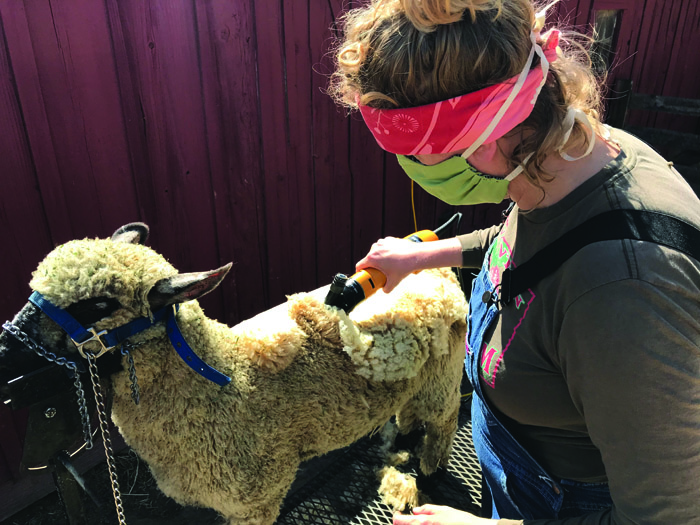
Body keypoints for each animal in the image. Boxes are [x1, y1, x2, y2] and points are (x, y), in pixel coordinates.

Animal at [0, 223, 468, 525]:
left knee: (444, 422)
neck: (224, 383)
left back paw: (431, 466)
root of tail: (432, 259)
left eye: (97, 305)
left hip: (443, 381)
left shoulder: (257, 500)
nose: (4, 347)